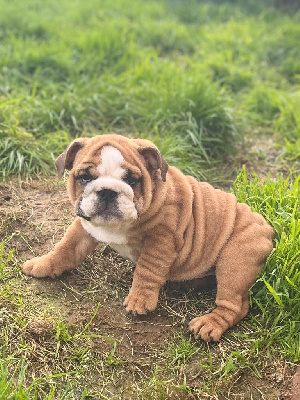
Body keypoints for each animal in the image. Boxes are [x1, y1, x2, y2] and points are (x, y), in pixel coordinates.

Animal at [22, 134, 274, 340]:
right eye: (84, 177)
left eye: (132, 180)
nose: (107, 191)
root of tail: (267, 228)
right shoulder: (84, 224)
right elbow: (66, 246)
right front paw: (44, 264)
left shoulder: (162, 238)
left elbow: (147, 269)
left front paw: (140, 299)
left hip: (236, 260)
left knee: (235, 305)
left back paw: (210, 324)